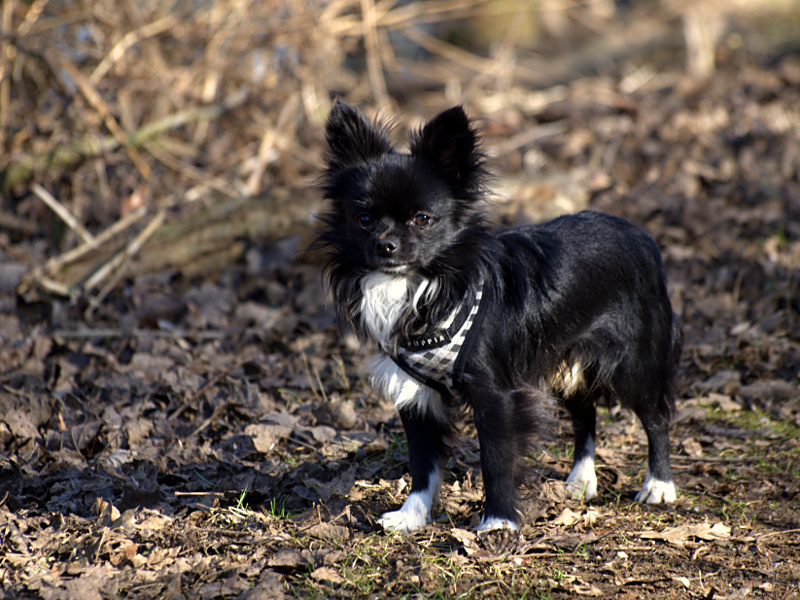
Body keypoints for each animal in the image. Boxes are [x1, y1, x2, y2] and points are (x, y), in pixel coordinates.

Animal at [312, 101, 680, 532]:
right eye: (364, 220)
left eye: (422, 219)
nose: (385, 245)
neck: (421, 285)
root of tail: (640, 236)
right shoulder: (416, 393)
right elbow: (423, 464)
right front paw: (412, 515)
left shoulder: (495, 395)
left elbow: (496, 460)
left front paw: (498, 522)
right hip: (566, 359)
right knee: (584, 414)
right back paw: (581, 479)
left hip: (633, 362)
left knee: (656, 417)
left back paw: (658, 485)